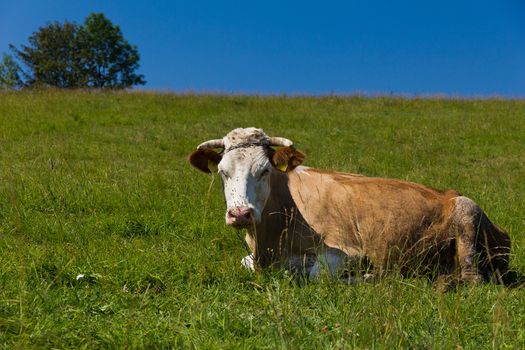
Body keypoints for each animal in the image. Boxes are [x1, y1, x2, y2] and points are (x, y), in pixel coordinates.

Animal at [188, 126, 508, 284]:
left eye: (265, 170)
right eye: (223, 172)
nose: (240, 213)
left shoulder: (349, 251)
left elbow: (318, 275)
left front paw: (365, 276)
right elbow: (245, 263)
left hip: (466, 210)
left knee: (471, 279)